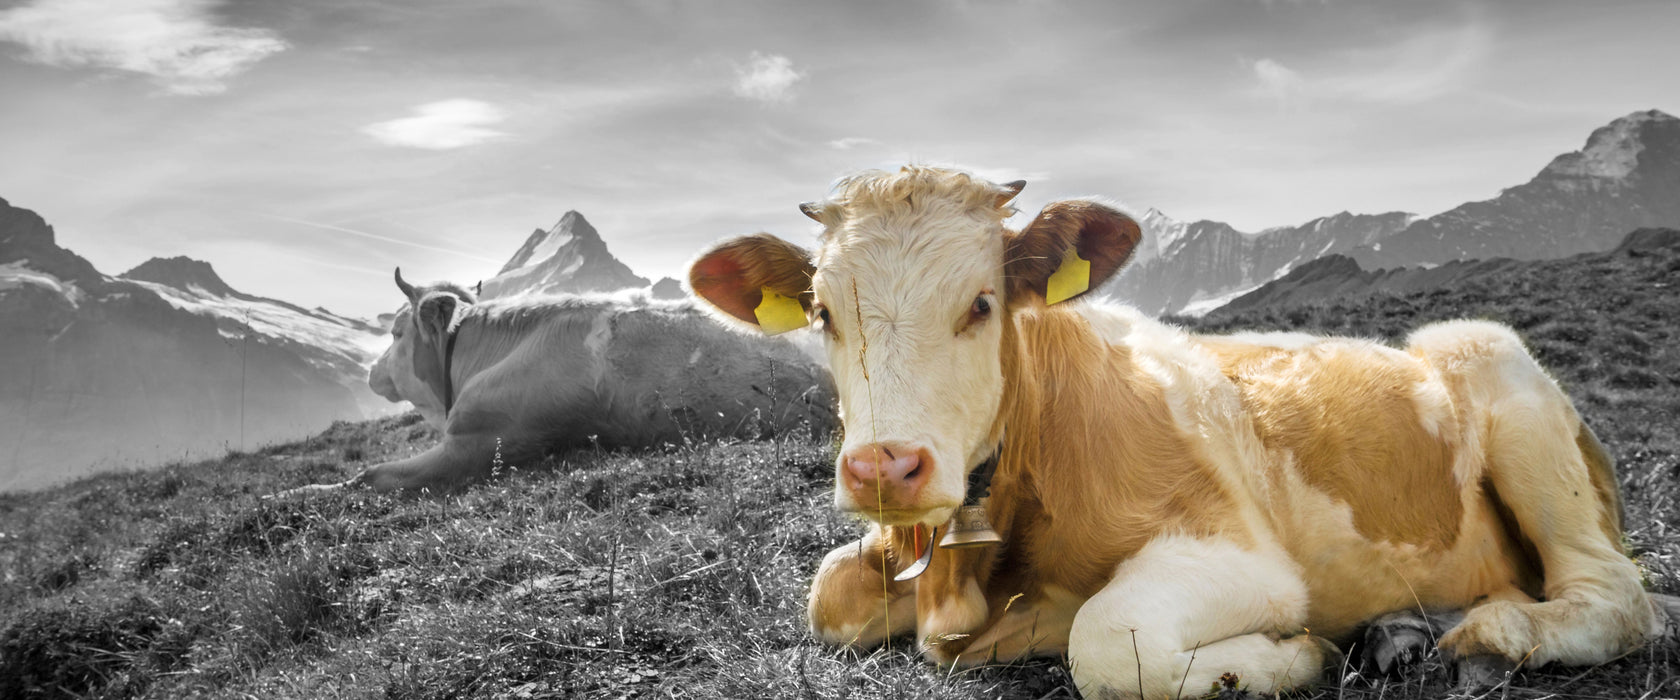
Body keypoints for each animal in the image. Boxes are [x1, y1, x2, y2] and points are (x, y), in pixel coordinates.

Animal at [688, 166, 1673, 694]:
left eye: (982, 303)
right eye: (822, 312)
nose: (886, 468)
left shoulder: (1240, 554)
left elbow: (1107, 641)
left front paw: (1293, 655)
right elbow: (828, 595)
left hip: (1498, 373)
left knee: (1614, 596)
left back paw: (1488, 633)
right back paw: (1402, 633)